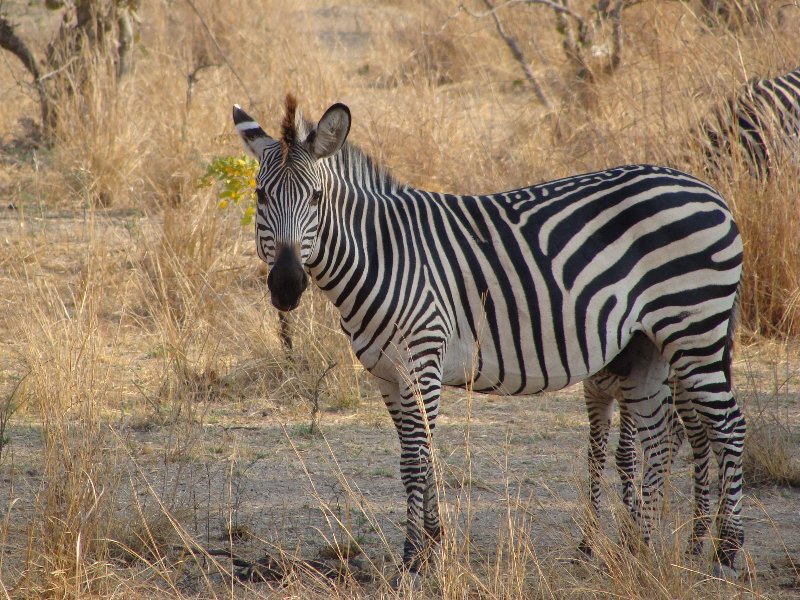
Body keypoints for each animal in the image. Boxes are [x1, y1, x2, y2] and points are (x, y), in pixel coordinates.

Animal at [231, 96, 744, 584]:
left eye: (316, 197)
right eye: (260, 195)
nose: (286, 285)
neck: (383, 255)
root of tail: (709, 191)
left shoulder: (423, 359)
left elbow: (417, 459)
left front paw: (413, 561)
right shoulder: (389, 374)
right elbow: (416, 459)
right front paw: (433, 548)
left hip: (695, 328)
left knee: (727, 427)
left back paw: (725, 555)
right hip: (646, 347)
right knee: (659, 436)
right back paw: (641, 550)